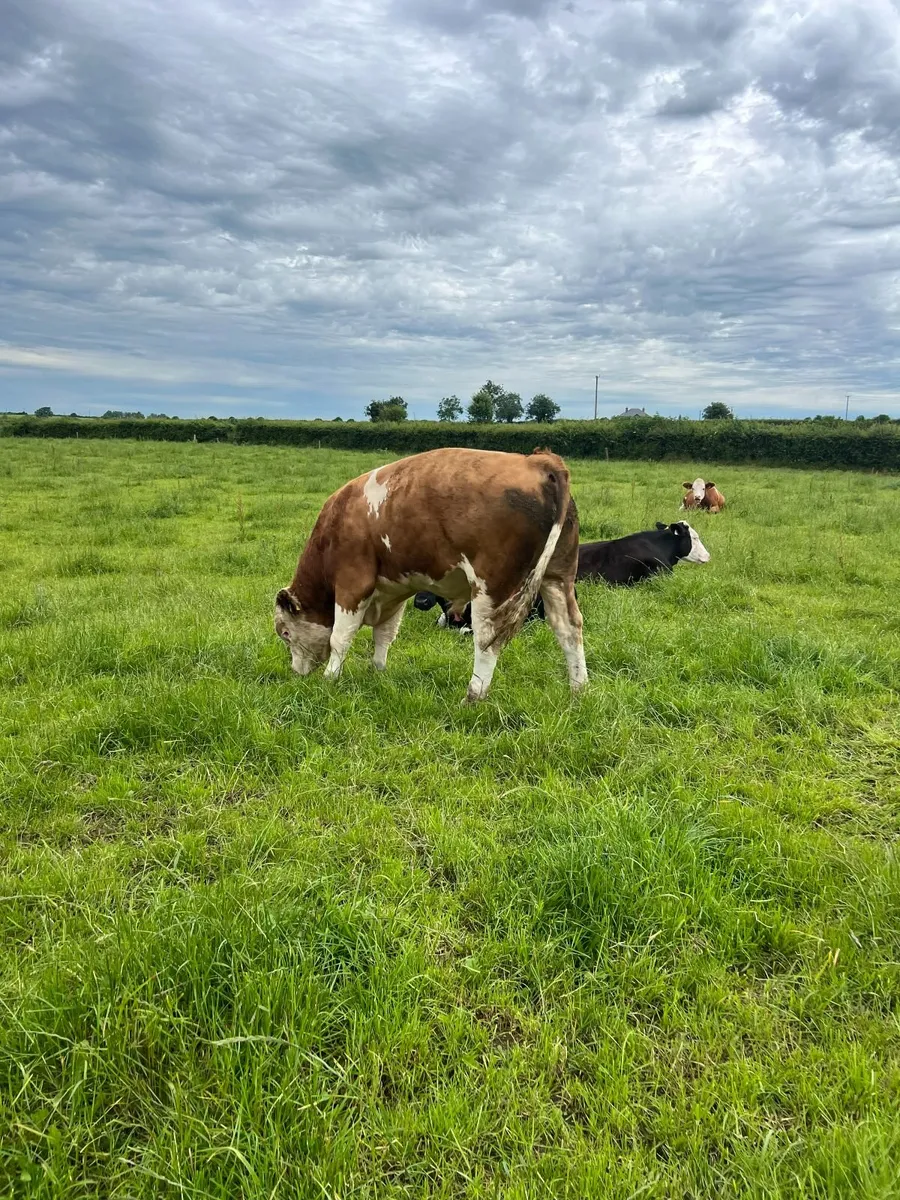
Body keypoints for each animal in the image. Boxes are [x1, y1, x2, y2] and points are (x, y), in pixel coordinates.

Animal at [274, 447, 586, 703]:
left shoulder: (353, 583)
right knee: (569, 627)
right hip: (557, 576)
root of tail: (537, 461)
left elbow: (340, 637)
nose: (296, 672)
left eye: (286, 633)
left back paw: (473, 697)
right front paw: (378, 672)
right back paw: (578, 690)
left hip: (494, 587)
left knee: (487, 639)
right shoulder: (392, 590)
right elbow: (384, 635)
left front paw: (330, 679)